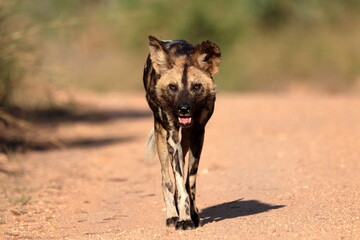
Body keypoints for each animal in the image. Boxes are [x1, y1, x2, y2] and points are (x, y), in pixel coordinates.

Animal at [143, 35, 219, 229]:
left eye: (196, 86)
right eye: (173, 87)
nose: (183, 109)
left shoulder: (198, 133)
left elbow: (189, 183)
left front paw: (192, 215)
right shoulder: (172, 136)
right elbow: (178, 182)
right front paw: (183, 219)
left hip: (184, 141)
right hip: (163, 138)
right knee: (166, 180)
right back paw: (172, 215)